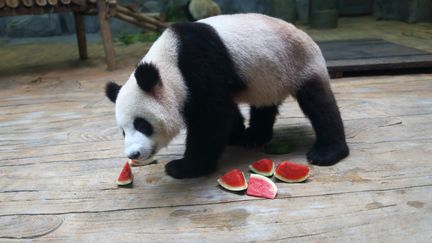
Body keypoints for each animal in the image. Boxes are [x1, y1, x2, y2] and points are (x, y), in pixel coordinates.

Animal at [106, 14, 350, 179]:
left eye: (142, 124)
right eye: (123, 131)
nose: (133, 154)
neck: (169, 62)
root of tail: (307, 36)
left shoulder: (199, 64)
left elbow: (212, 116)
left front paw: (183, 167)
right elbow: (224, 110)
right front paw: (235, 134)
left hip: (299, 64)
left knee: (319, 104)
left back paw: (327, 152)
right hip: (268, 76)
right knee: (264, 104)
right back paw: (254, 136)